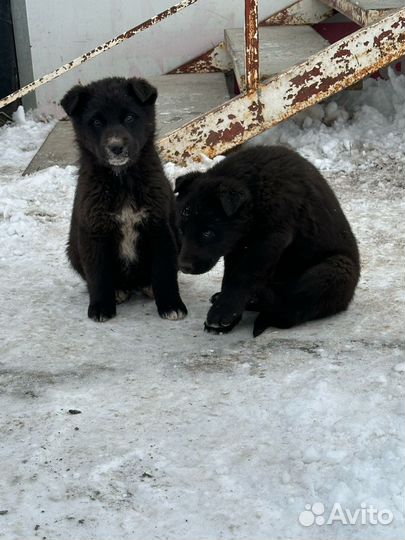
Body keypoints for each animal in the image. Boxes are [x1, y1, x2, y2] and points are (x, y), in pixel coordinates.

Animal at [60, 76, 187, 320]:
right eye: (96, 122)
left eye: (129, 117)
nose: (116, 147)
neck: (122, 181)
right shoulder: (94, 231)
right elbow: (98, 274)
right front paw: (101, 306)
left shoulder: (159, 228)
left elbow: (165, 272)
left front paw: (171, 304)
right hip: (73, 250)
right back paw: (118, 291)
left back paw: (148, 287)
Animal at [175, 146, 358, 336]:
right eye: (181, 230)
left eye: (207, 233)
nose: (184, 267)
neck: (256, 193)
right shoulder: (237, 247)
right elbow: (230, 275)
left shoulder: (270, 238)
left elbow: (243, 274)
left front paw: (222, 312)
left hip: (335, 268)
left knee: (293, 307)